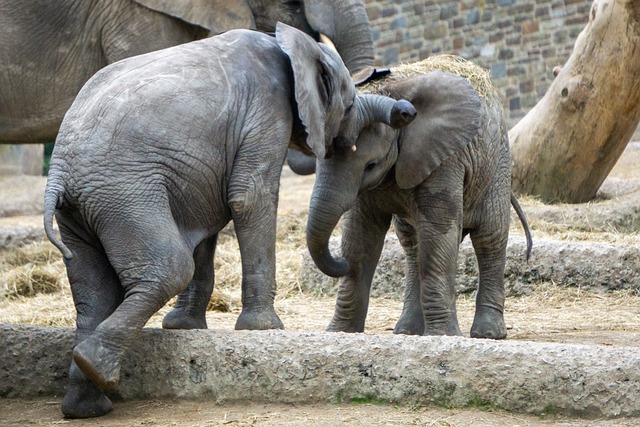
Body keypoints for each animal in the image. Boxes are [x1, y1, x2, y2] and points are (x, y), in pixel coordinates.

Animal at [43, 22, 416, 418]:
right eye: (347, 103)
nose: (406, 109)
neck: (285, 43)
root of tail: (59, 172)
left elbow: (205, 218)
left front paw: (184, 328)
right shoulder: (266, 110)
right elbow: (249, 196)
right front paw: (264, 329)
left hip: (83, 208)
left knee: (95, 294)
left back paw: (87, 404)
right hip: (124, 192)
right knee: (169, 268)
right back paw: (96, 369)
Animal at [308, 54, 532, 342]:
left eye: (371, 165)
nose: (339, 261)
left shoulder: (446, 157)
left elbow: (438, 232)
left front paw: (444, 336)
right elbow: (360, 235)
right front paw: (341, 332)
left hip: (497, 166)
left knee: (489, 237)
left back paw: (488, 334)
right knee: (412, 244)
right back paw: (408, 331)